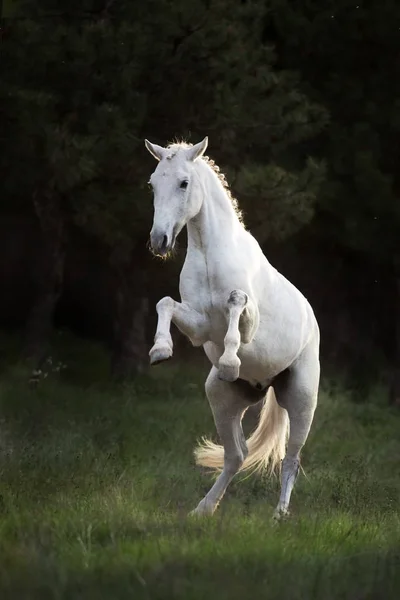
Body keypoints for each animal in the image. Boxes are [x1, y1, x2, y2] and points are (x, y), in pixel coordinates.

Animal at [145, 137, 320, 520]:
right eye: (152, 184)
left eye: (184, 183)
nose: (159, 241)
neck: (211, 256)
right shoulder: (199, 327)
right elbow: (165, 303)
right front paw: (160, 351)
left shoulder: (246, 321)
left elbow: (237, 306)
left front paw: (229, 362)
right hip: (221, 397)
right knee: (236, 455)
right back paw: (203, 509)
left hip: (302, 398)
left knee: (291, 458)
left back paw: (279, 515)